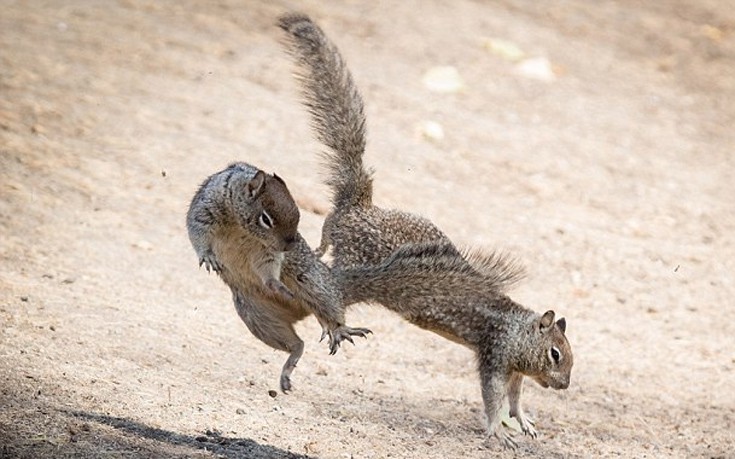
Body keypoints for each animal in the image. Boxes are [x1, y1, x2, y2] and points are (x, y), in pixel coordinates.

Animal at [187, 162, 370, 392]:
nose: (290, 246)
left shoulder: (268, 252)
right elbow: (198, 231)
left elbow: (269, 266)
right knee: (298, 344)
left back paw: (340, 329)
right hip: (257, 317)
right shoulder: (206, 208)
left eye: (298, 215)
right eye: (266, 219)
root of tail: (302, 311)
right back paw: (290, 364)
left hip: (314, 284)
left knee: (330, 311)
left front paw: (275, 284)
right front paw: (207, 256)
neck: (239, 225)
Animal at [278, 12, 572, 448]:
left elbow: (517, 398)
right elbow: (492, 397)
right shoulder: (495, 355)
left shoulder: (516, 371)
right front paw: (497, 431)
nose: (565, 385)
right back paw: (332, 316)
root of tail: (359, 206)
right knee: (327, 278)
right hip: (358, 261)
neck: (517, 328)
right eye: (555, 354)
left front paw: (525, 422)